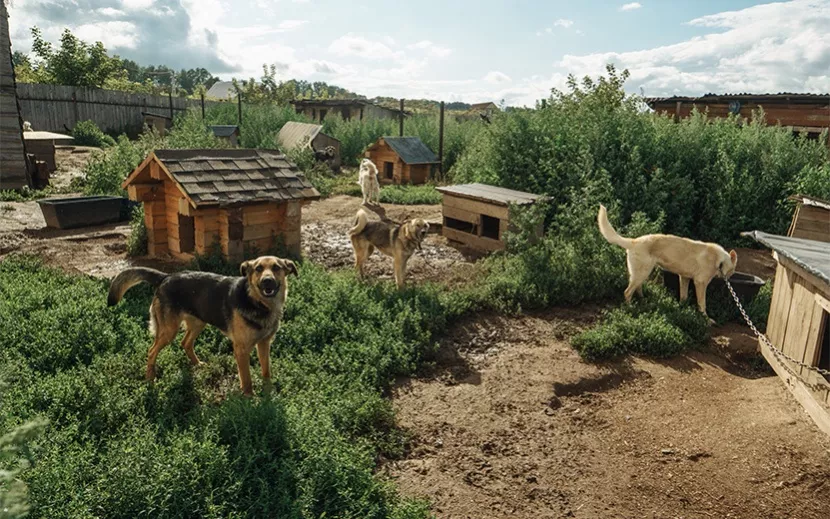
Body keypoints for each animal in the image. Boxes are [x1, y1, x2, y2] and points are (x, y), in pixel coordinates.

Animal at [106, 258, 296, 396]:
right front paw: (250, 399)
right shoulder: (241, 349)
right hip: (169, 331)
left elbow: (266, 370)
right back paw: (150, 379)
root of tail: (166, 277)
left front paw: (268, 391)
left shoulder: (264, 343)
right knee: (152, 351)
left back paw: (197, 364)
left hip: (198, 323)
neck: (258, 303)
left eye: (276, 267)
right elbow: (247, 378)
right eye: (258, 269)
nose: (267, 281)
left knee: (185, 343)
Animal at [600, 205, 740, 318]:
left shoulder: (684, 278)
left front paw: (682, 310)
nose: (729, 277)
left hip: (642, 274)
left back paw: (643, 300)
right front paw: (706, 320)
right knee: (627, 292)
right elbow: (702, 304)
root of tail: (633, 241)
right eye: (732, 271)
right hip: (642, 273)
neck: (720, 260)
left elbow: (683, 297)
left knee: (637, 288)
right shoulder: (700, 283)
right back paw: (631, 309)